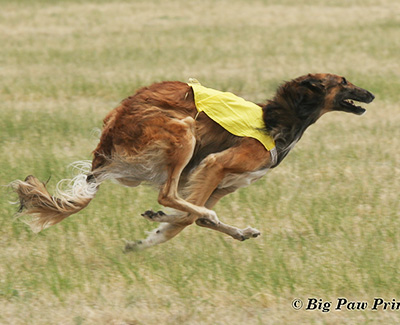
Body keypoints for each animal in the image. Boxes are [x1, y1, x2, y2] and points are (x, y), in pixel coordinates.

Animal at [11, 74, 376, 251]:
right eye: (343, 81)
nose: (372, 94)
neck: (276, 119)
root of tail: (112, 125)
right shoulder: (215, 165)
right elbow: (193, 215)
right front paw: (157, 231)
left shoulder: (222, 184)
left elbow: (191, 219)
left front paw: (150, 234)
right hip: (183, 131)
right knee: (168, 193)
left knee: (181, 204)